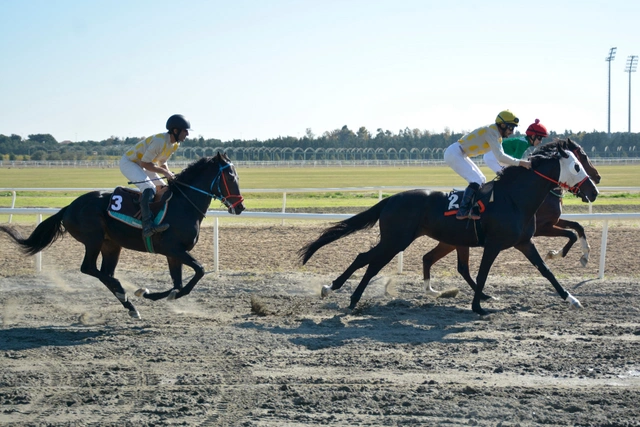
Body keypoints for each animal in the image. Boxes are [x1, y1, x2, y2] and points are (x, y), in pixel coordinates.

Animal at [0, 152, 245, 320]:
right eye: (230, 176)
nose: (240, 207)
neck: (182, 204)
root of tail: (69, 207)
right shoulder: (173, 249)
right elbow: (198, 272)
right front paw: (148, 293)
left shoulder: (174, 253)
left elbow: (178, 284)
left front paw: (148, 294)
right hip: (93, 239)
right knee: (89, 268)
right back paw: (122, 291)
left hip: (111, 245)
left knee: (105, 272)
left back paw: (128, 302)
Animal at [300, 142, 600, 316]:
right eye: (577, 164)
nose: (594, 189)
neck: (515, 198)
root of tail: (391, 199)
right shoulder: (494, 244)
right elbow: (482, 274)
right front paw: (478, 306)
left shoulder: (524, 242)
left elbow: (546, 270)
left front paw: (572, 299)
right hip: (397, 240)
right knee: (367, 259)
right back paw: (337, 291)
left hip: (411, 240)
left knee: (374, 262)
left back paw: (348, 296)